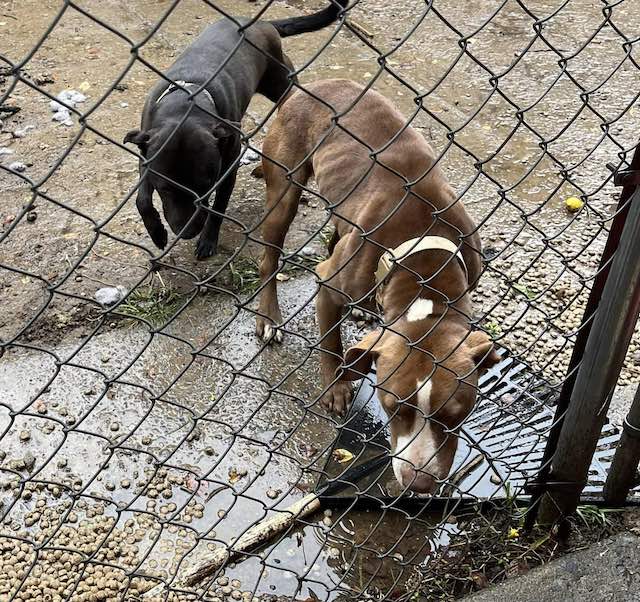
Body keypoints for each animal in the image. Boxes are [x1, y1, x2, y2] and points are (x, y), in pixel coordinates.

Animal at [124, 0, 347, 259]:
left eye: (206, 186)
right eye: (165, 189)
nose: (188, 233)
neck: (185, 102)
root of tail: (260, 22)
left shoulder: (227, 170)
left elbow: (218, 208)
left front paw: (208, 240)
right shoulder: (146, 154)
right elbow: (141, 199)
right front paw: (157, 233)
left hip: (278, 81)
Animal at [255, 80, 500, 493]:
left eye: (454, 415)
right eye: (392, 407)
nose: (419, 483)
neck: (423, 273)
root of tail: (312, 84)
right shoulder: (328, 283)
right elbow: (331, 343)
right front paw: (337, 388)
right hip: (284, 187)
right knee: (269, 255)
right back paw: (269, 318)